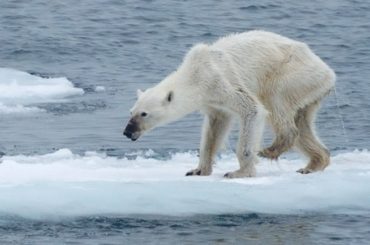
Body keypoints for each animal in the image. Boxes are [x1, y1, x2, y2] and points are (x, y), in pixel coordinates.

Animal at [123, 31, 336, 179]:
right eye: (131, 111)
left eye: (144, 114)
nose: (127, 132)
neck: (195, 74)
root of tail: (328, 72)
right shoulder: (212, 101)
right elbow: (215, 128)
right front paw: (198, 170)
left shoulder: (220, 81)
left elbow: (252, 110)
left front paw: (239, 172)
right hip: (309, 90)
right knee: (303, 122)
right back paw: (313, 164)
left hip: (293, 75)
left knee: (276, 103)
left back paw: (270, 150)